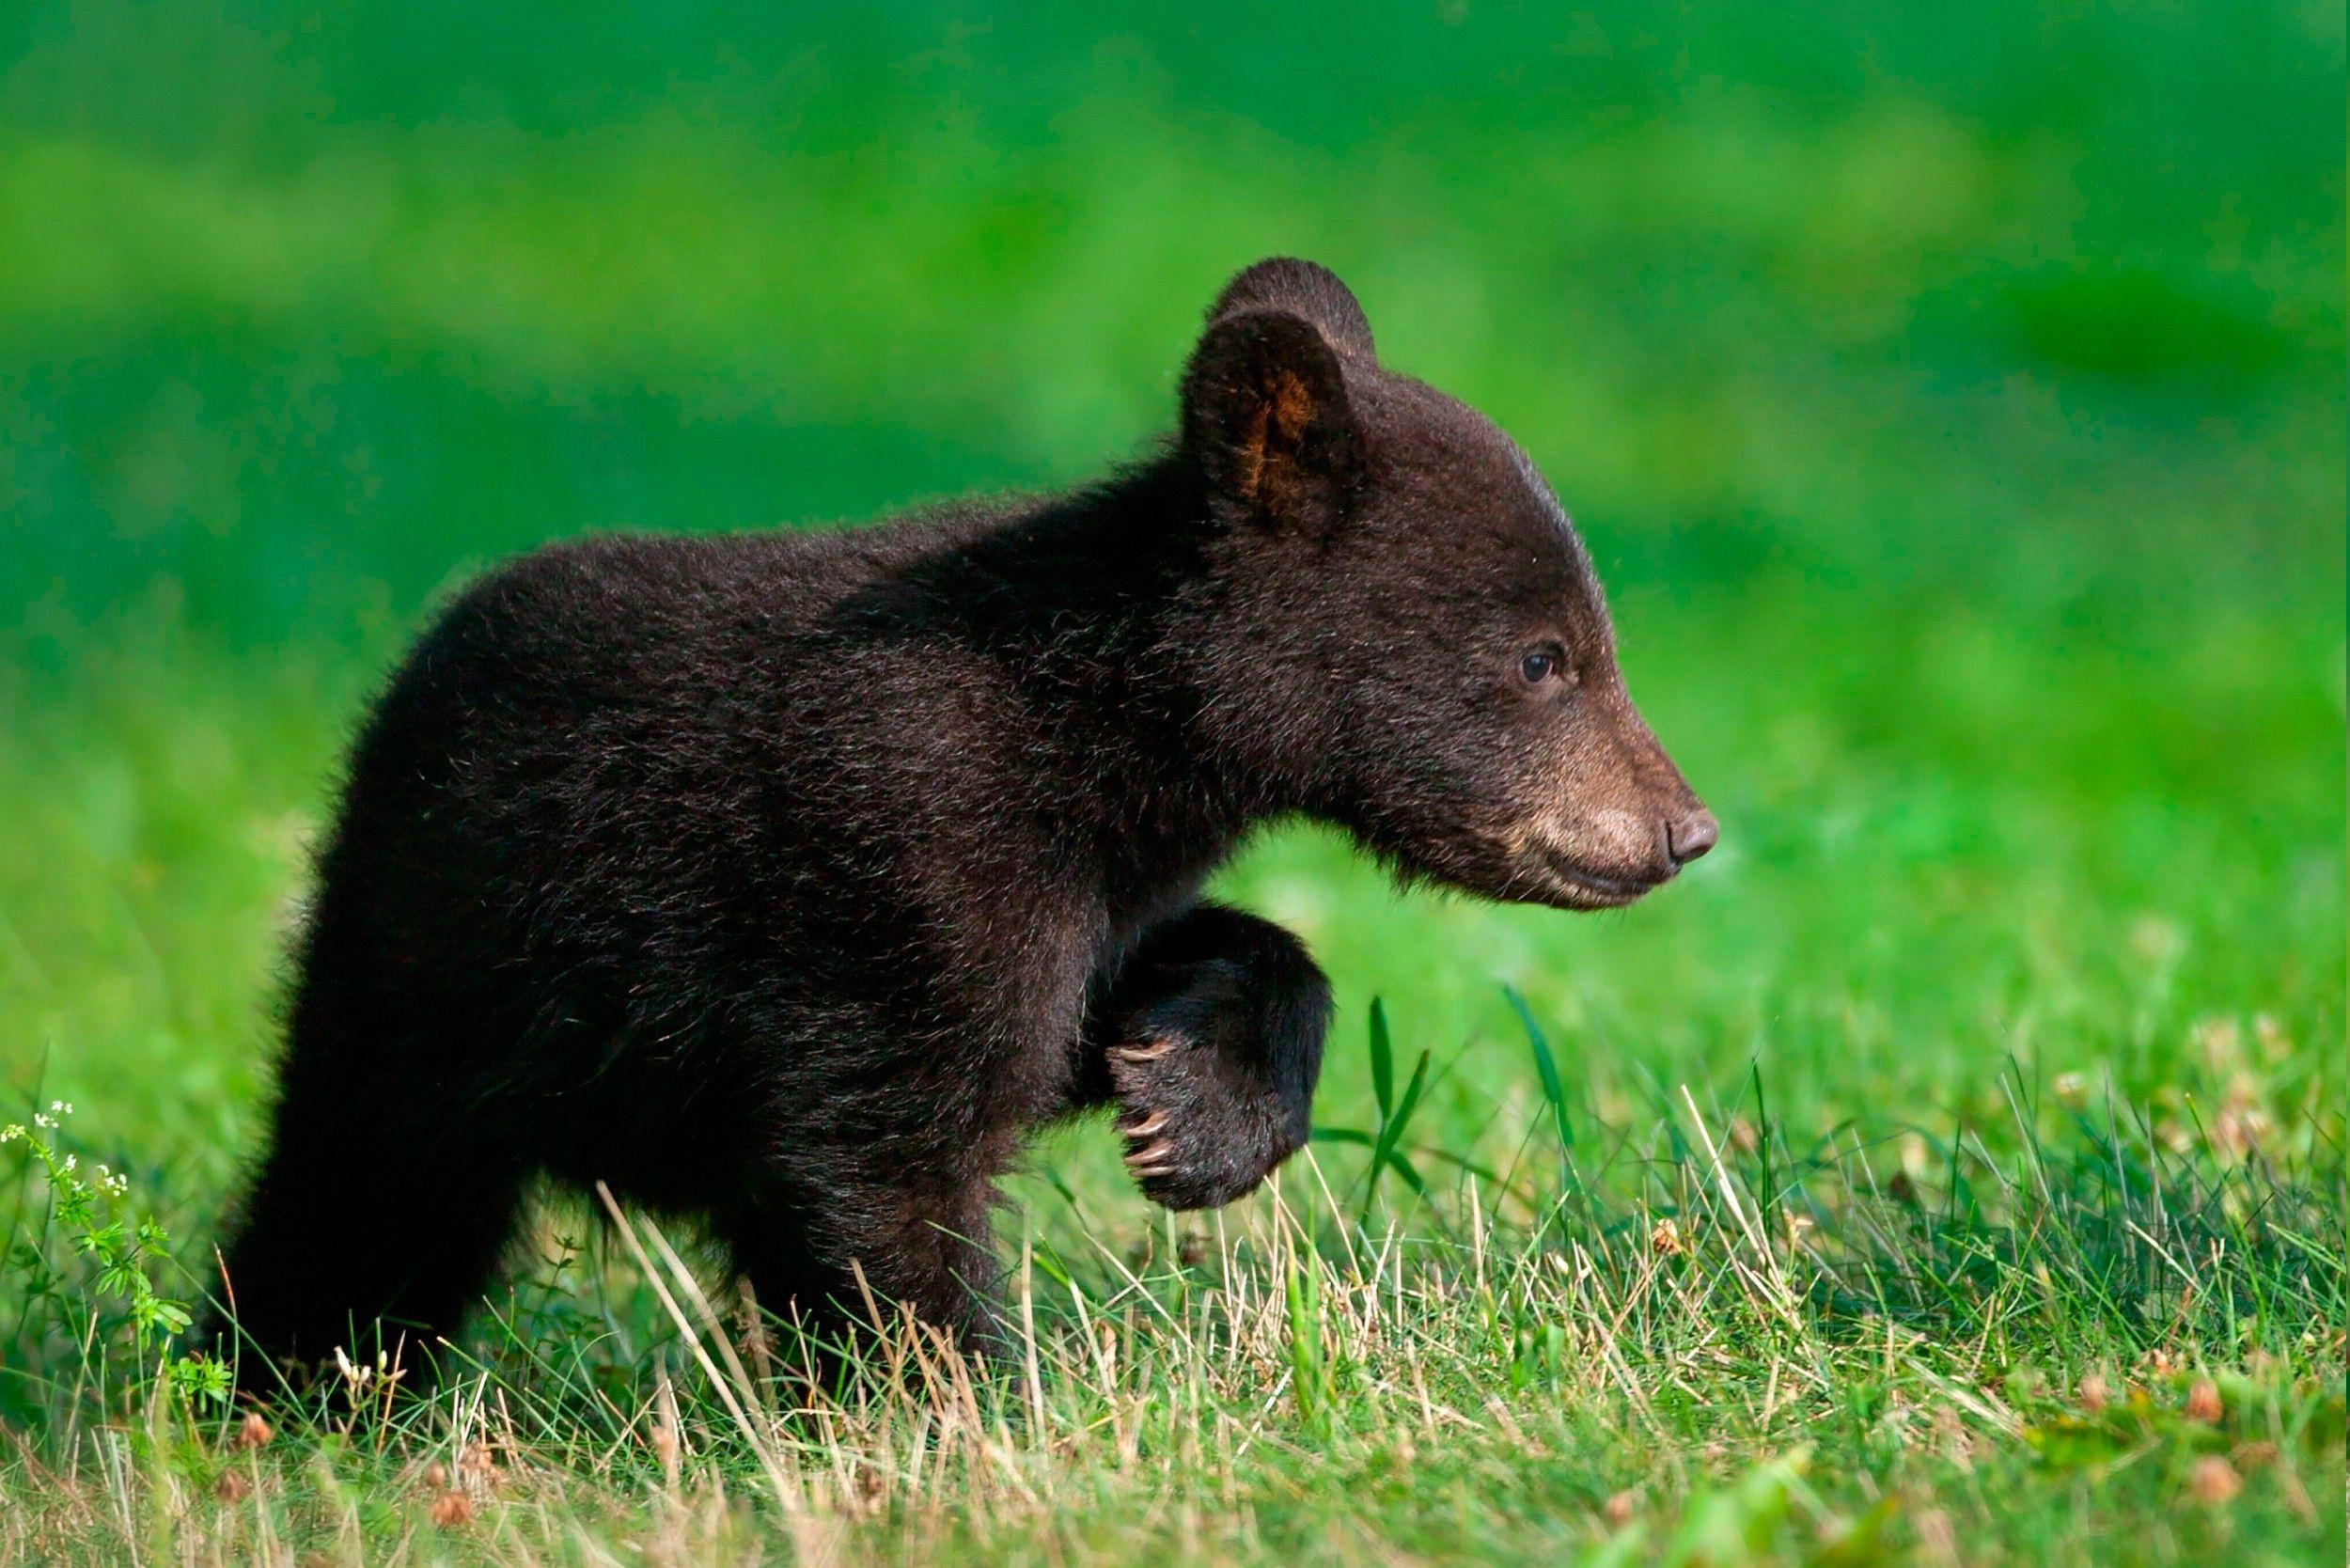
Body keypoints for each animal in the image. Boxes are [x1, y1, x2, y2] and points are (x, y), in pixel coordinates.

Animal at [205, 257, 1715, 1389]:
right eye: (1544, 657)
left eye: (1585, 641)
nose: (1682, 828)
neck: (1096, 730)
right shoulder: (902, 855)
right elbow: (888, 1152)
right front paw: (964, 1413)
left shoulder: (1075, 878)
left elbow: (1095, 1009)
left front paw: (1196, 1104)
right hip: (428, 971)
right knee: (359, 1206)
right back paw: (272, 1393)